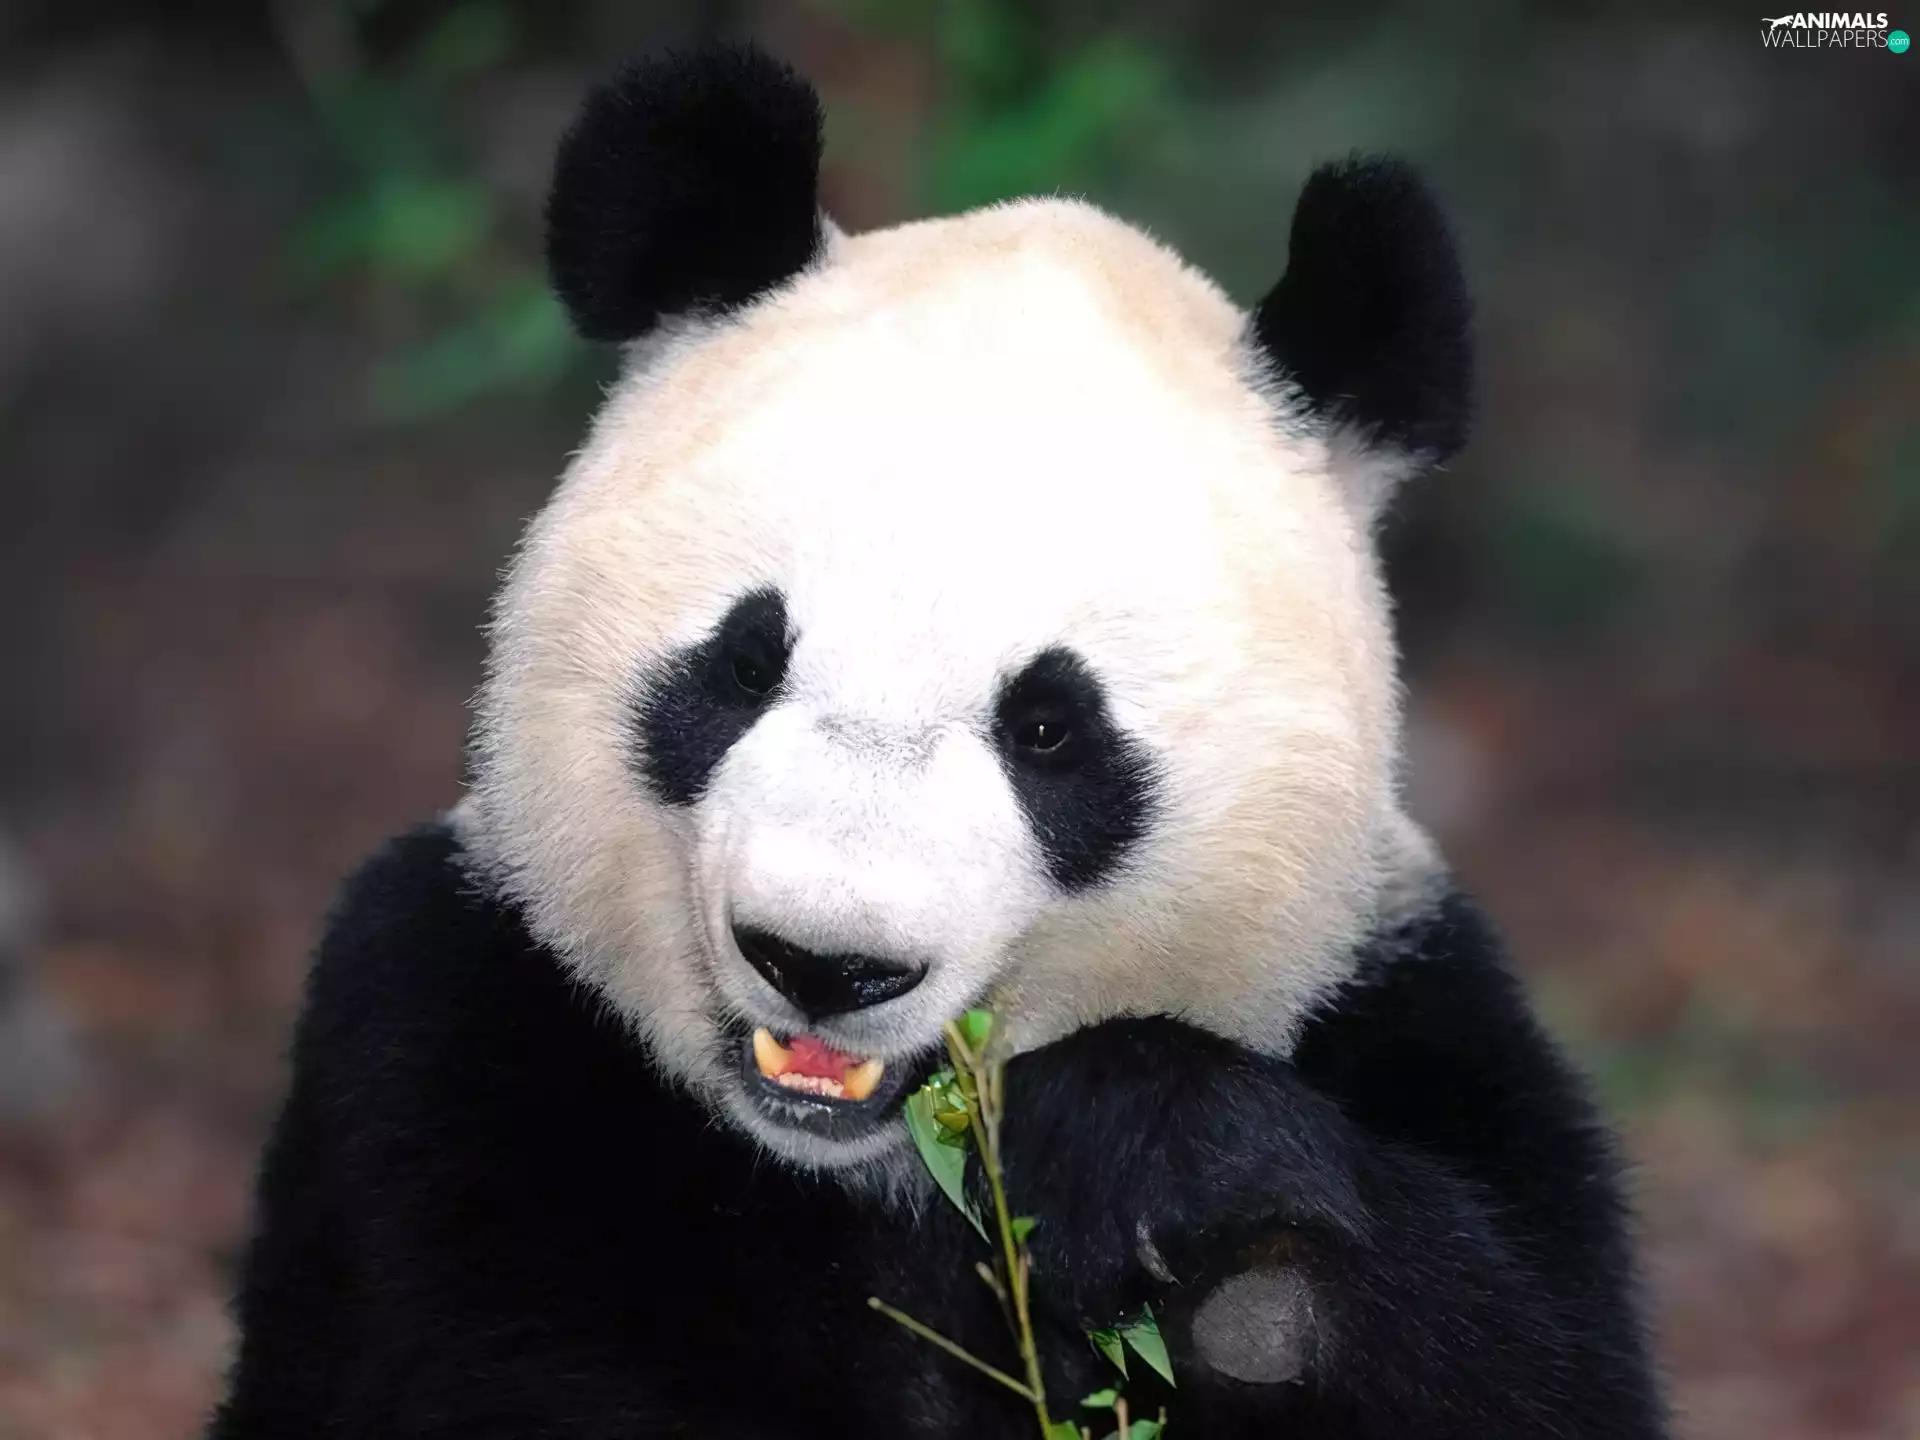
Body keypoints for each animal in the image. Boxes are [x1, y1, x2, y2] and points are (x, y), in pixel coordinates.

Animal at [210, 43, 1666, 1440]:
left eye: (1050, 729)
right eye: (746, 662)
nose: (822, 962)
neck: (870, 1171)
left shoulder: (1412, 1010)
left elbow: (1529, 1360)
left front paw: (1150, 1165)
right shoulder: (451, 1037)